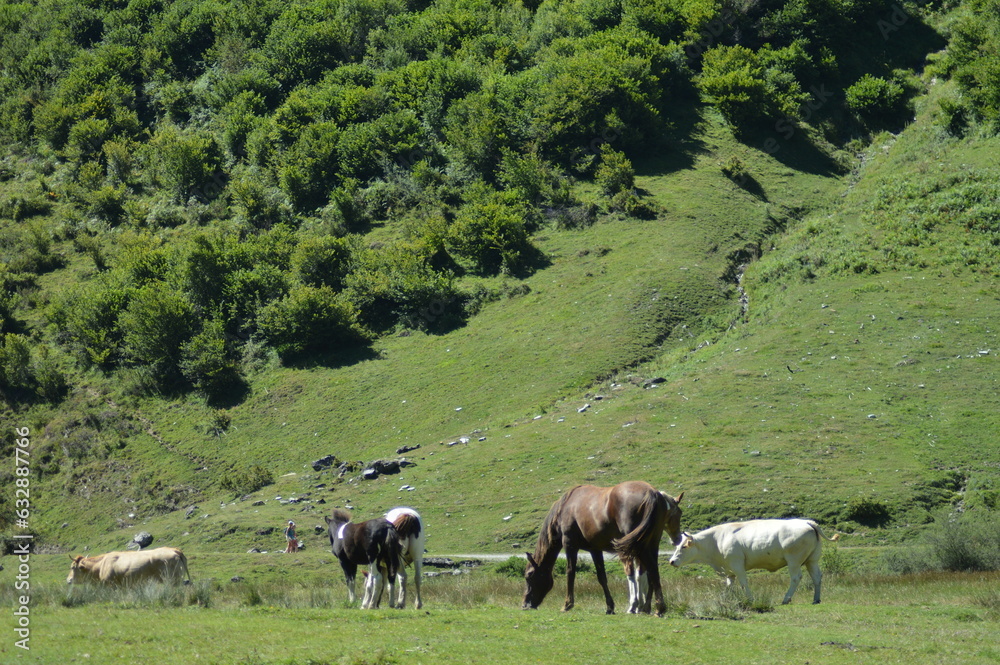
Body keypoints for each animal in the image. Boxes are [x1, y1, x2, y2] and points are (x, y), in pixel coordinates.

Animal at [524, 480, 680, 616]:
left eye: (529, 576)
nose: (525, 604)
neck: (566, 507)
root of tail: (651, 492)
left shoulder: (570, 545)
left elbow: (570, 572)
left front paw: (567, 604)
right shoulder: (595, 550)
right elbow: (602, 577)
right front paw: (610, 607)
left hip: (640, 546)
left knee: (651, 569)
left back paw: (655, 607)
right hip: (652, 543)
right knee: (652, 571)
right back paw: (649, 607)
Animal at [668, 516, 840, 604]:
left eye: (684, 546)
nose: (671, 561)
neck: (716, 540)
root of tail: (807, 522)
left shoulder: (737, 565)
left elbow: (744, 583)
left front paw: (750, 599)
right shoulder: (729, 569)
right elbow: (729, 585)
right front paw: (727, 599)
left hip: (794, 561)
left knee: (796, 578)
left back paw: (786, 599)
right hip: (812, 560)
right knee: (816, 577)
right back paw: (816, 599)